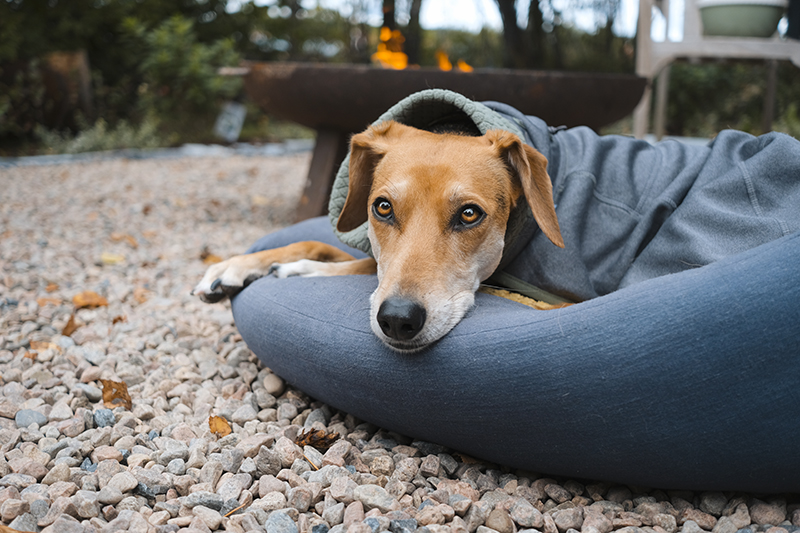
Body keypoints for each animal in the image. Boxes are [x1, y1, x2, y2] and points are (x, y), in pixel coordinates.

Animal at [195, 119, 564, 350]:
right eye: (383, 208)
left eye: (469, 214)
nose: (398, 320)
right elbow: (318, 244)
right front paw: (237, 265)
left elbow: (360, 266)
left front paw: (304, 270)